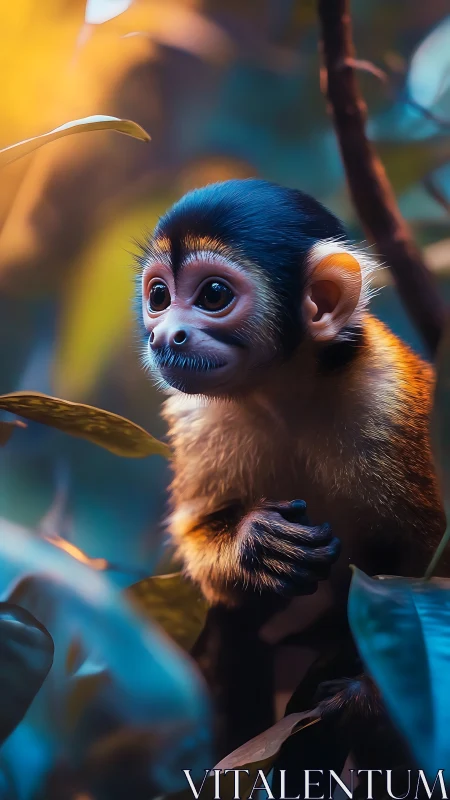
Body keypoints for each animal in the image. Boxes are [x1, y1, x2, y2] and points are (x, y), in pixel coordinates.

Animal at [136, 178, 446, 754]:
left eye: (213, 295)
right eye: (159, 297)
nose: (165, 337)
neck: (284, 391)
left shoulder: (389, 402)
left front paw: (370, 700)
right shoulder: (196, 414)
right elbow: (198, 529)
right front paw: (252, 546)